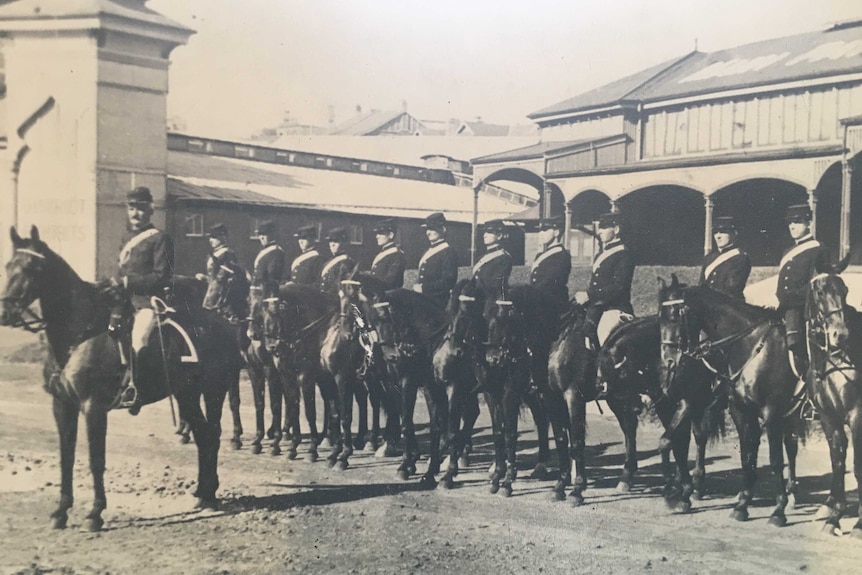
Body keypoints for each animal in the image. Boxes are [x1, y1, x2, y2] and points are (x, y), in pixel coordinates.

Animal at [0, 225, 240, 532]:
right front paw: (61, 511)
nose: (5, 313)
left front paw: (95, 513)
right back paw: (203, 494)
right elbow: (66, 458)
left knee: (212, 434)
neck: (80, 333)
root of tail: (223, 322)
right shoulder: (62, 405)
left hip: (213, 391)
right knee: (202, 434)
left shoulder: (93, 407)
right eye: (8, 266)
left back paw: (209, 494)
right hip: (186, 395)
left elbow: (96, 459)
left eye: (33, 268)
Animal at [260, 282, 338, 462]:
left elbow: (309, 411)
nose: (271, 346)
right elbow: (293, 407)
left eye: (281, 308)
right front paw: (292, 446)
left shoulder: (306, 377)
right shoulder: (286, 377)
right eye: (263, 309)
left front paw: (312, 449)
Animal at [660, 276, 808, 528]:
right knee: (791, 444)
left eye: (674, 316)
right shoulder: (738, 409)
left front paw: (778, 510)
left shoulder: (771, 412)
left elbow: (775, 460)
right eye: (658, 318)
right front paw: (741, 504)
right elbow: (745, 456)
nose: (669, 362)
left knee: (791, 447)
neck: (752, 346)